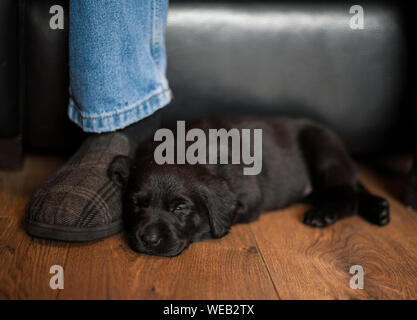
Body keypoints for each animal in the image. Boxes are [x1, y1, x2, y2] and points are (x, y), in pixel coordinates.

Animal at [109, 117, 388, 258]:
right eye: (136, 204)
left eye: (180, 208)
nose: (149, 240)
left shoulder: (250, 198)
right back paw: (379, 209)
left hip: (323, 150)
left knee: (347, 194)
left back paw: (324, 213)